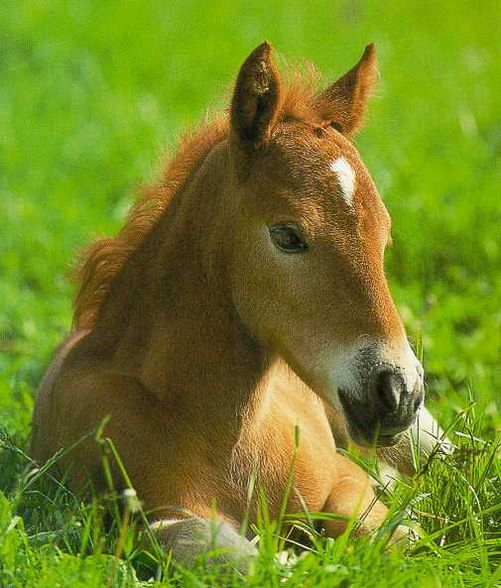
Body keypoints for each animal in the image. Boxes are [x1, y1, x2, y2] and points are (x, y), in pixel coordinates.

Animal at [31, 41, 444, 564]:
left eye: (384, 238)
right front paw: (286, 558)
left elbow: (396, 534)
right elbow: (231, 556)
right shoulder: (146, 514)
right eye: (287, 235)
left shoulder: (345, 480)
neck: (226, 433)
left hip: (418, 435)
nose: (397, 391)